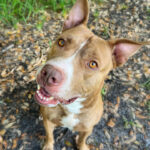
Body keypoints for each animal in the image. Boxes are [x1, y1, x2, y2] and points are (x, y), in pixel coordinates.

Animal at [34, 0, 150, 150]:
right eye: (61, 42)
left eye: (93, 64)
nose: (48, 74)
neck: (72, 108)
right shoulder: (48, 121)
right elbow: (49, 136)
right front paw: (48, 145)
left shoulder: (88, 128)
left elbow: (82, 139)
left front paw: (82, 146)